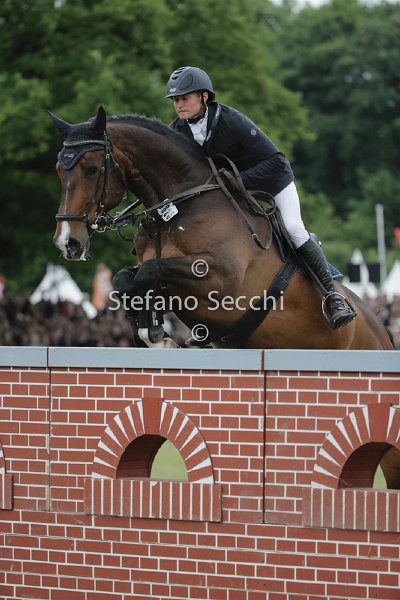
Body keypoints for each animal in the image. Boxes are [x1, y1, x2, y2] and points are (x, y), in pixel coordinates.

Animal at [49, 106, 393, 350]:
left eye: (92, 169)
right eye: (58, 171)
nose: (68, 243)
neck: (176, 207)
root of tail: (382, 329)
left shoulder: (220, 279)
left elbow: (149, 273)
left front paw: (157, 333)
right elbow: (126, 280)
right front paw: (151, 330)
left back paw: (338, 308)